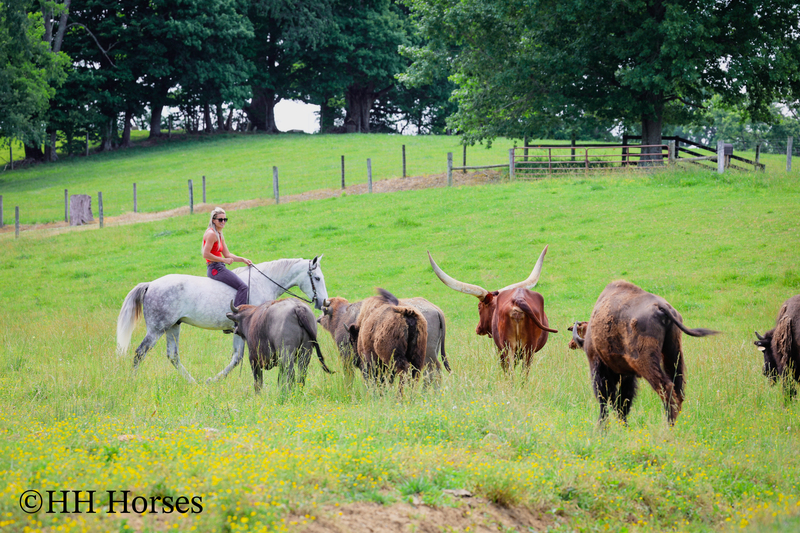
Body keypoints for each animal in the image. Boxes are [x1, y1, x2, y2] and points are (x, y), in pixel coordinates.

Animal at [116, 256, 328, 383]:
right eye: (317, 278)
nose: (324, 302)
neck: (263, 282)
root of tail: (150, 285)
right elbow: (240, 358)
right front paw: (214, 380)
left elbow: (236, 357)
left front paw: (212, 380)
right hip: (156, 329)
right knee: (140, 353)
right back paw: (132, 381)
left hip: (173, 327)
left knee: (173, 356)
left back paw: (193, 383)